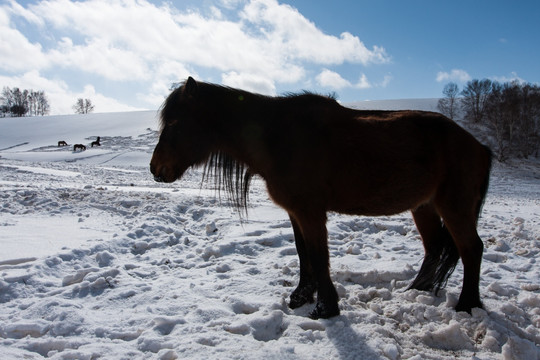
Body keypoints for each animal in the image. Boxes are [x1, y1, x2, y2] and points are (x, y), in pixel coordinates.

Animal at [150, 77, 492, 320]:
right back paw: (417, 290)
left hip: (454, 207)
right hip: (424, 207)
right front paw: (302, 296)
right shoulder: (295, 212)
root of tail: (479, 145)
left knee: (471, 249)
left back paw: (467, 305)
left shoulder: (310, 212)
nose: (156, 169)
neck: (279, 137)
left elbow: (317, 255)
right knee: (435, 249)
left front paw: (326, 308)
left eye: (175, 124)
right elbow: (304, 254)